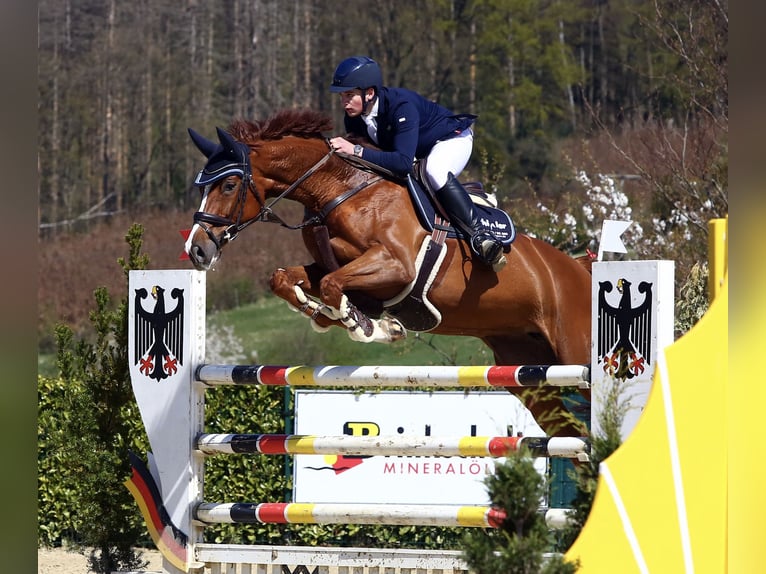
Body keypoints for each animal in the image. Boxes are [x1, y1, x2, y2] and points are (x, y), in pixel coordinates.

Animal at [186, 110, 592, 438]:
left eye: (228, 185)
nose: (196, 250)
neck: (337, 191)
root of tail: (581, 268)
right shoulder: (334, 266)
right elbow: (286, 279)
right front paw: (327, 315)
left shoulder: (397, 266)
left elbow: (334, 287)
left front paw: (370, 326)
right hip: (526, 371)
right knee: (571, 434)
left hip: (575, 352)